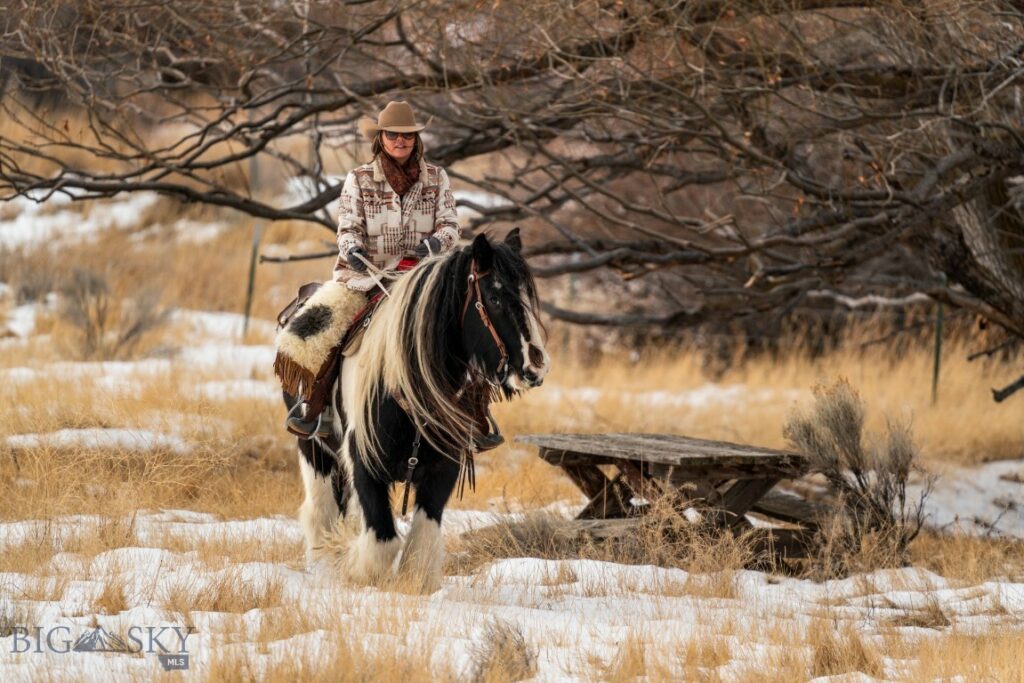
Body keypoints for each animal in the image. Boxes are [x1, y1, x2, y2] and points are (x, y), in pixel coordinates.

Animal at [280, 231, 552, 593]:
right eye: (494, 298)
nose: (536, 367)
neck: (406, 383)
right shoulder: (364, 463)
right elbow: (382, 540)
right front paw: (354, 571)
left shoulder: (443, 468)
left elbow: (422, 535)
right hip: (312, 447)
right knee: (320, 508)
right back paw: (325, 560)